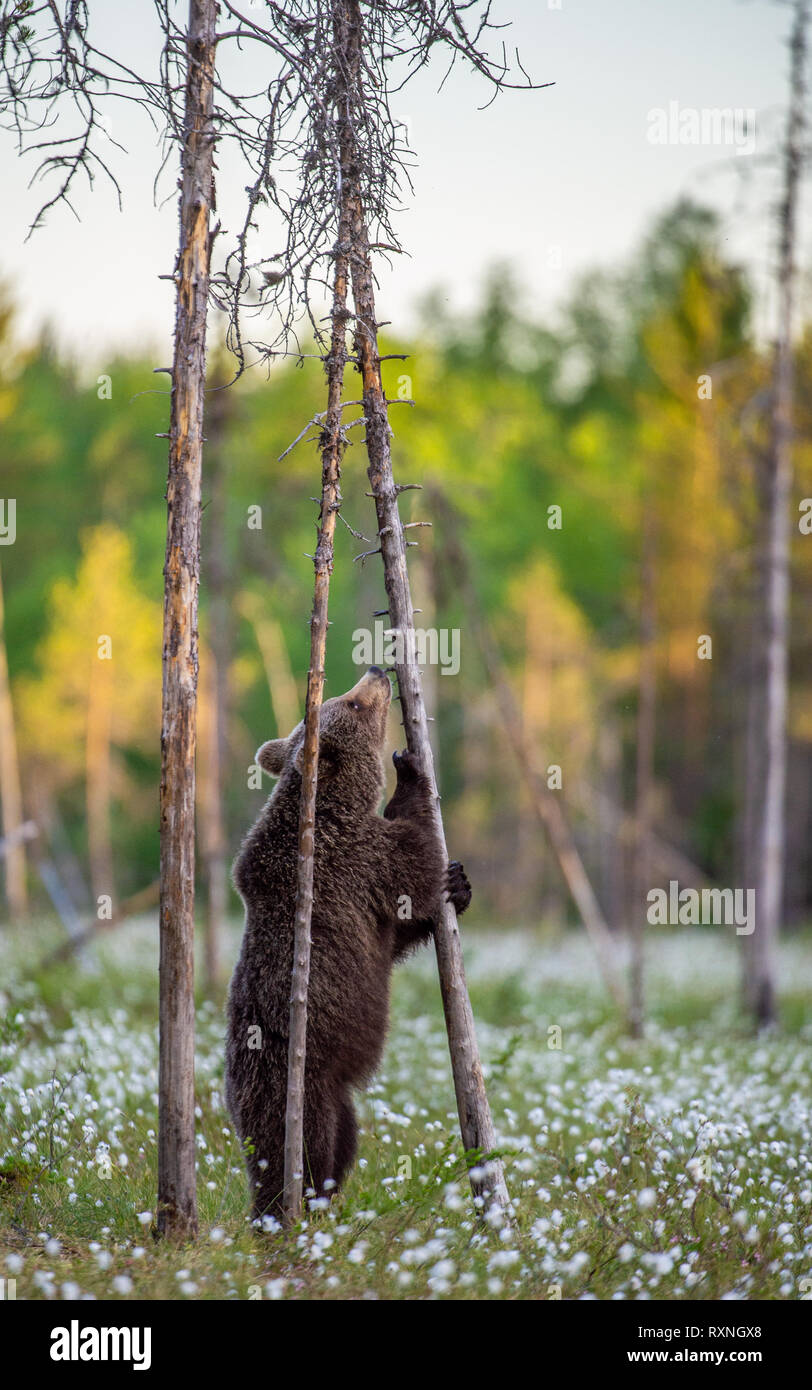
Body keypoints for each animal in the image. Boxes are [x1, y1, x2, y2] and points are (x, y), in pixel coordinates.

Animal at [225, 667, 472, 1223]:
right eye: (354, 705)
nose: (377, 672)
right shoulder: (354, 858)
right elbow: (412, 861)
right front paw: (411, 770)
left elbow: (398, 931)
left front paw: (461, 884)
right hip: (294, 1087)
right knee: (304, 1153)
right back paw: (290, 1212)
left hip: (337, 1098)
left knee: (342, 1143)